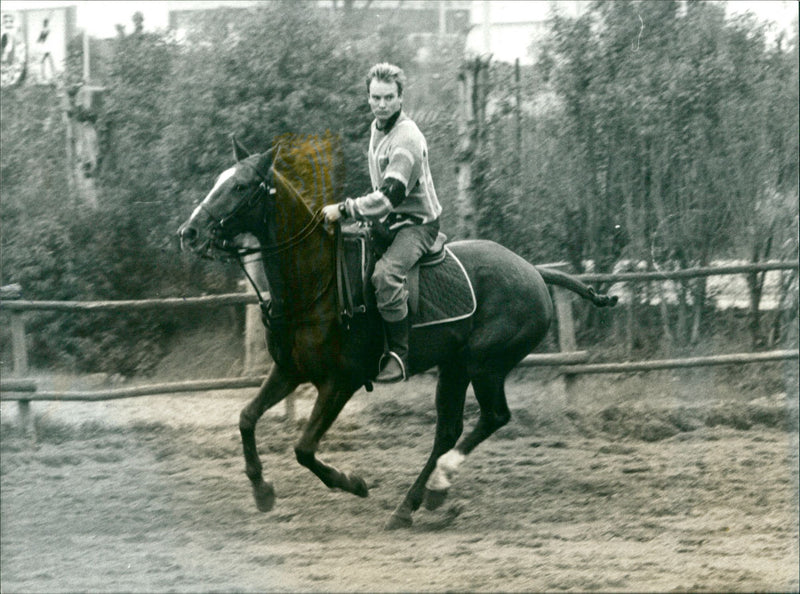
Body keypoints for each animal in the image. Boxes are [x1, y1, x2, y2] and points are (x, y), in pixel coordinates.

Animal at [180, 138, 620, 528]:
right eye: (219, 180)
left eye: (240, 186)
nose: (189, 232)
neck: (317, 282)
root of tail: (535, 272)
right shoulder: (289, 371)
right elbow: (246, 419)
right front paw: (261, 489)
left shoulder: (341, 382)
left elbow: (303, 449)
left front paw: (353, 483)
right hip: (455, 367)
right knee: (449, 431)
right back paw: (412, 504)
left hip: (485, 364)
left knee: (493, 417)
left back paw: (439, 484)